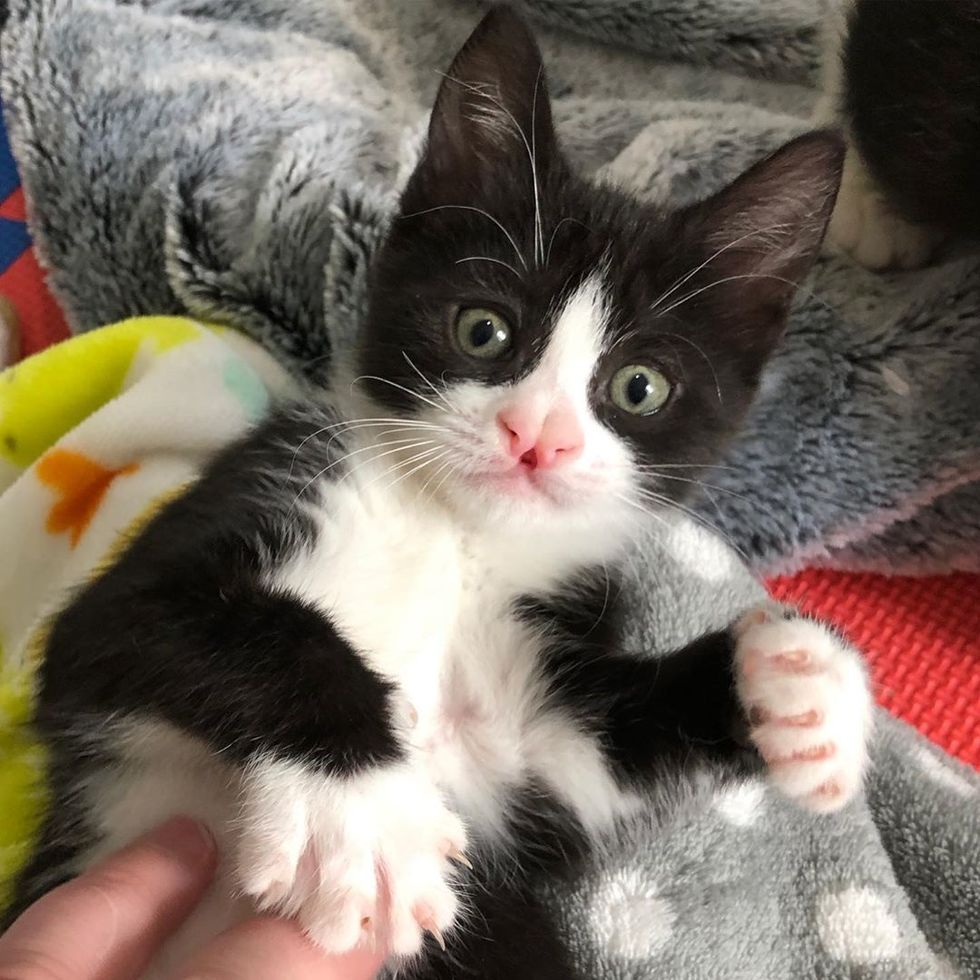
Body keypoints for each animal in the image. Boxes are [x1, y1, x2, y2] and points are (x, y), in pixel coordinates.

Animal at [3, 5, 868, 972]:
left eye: (639, 387)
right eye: (482, 330)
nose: (537, 440)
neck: (455, 541)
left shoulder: (532, 769)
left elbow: (600, 746)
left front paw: (791, 683)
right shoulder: (157, 578)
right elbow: (219, 625)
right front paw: (360, 810)